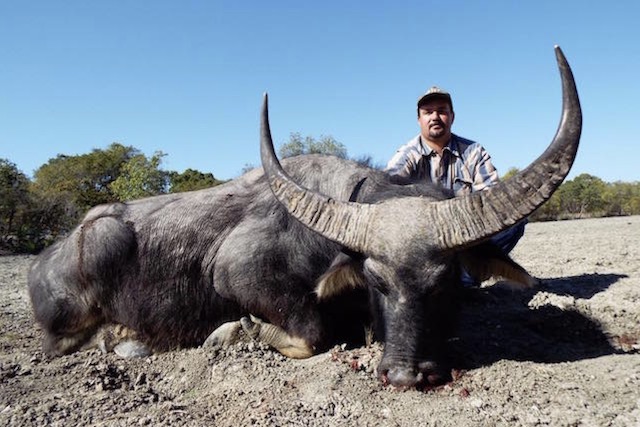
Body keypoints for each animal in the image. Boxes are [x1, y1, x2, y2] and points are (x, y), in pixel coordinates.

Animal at [28, 46, 580, 388]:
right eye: (376, 281)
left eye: (445, 282)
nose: (405, 375)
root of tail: (46, 258)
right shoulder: (237, 274)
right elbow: (309, 334)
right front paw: (233, 332)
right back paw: (120, 341)